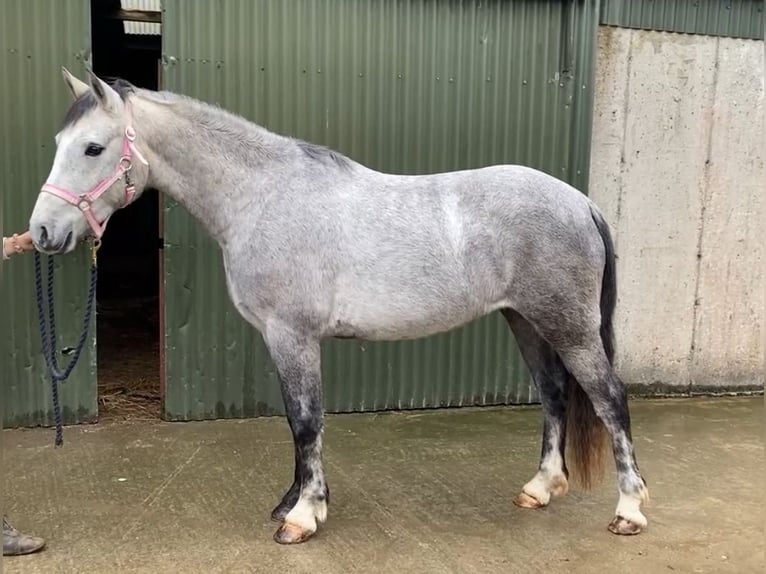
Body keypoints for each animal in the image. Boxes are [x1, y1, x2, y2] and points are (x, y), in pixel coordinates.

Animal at [29, 68, 649, 545]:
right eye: (57, 144)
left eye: (93, 147)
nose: (42, 232)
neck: (262, 197)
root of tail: (582, 203)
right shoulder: (281, 338)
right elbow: (294, 421)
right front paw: (294, 501)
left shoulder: (292, 335)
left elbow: (307, 421)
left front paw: (303, 518)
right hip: (526, 321)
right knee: (554, 393)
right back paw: (540, 489)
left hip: (569, 327)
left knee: (610, 399)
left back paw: (629, 511)